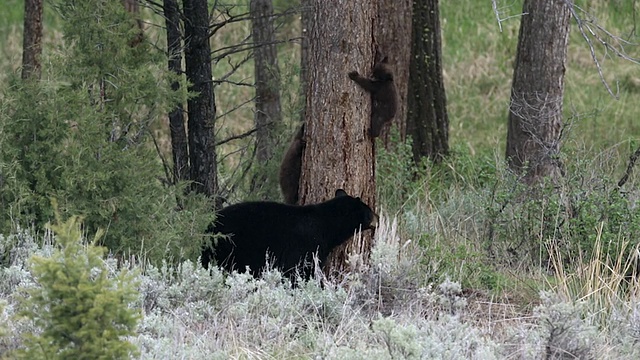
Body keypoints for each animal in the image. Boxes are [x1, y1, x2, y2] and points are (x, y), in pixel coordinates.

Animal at [202, 188, 378, 282]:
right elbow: (302, 271)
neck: (327, 226)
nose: (377, 217)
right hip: (232, 250)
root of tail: (208, 228)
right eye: (369, 211)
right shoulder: (307, 246)